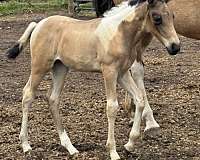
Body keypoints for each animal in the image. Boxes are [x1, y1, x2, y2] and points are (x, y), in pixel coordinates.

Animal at [5, 0, 180, 159]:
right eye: (157, 18)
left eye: (172, 16)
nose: (175, 47)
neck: (119, 33)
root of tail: (38, 25)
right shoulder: (109, 71)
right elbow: (112, 107)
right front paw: (113, 151)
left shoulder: (122, 73)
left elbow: (140, 99)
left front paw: (129, 144)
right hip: (40, 66)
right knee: (28, 95)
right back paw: (26, 145)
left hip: (60, 68)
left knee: (53, 99)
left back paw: (70, 147)